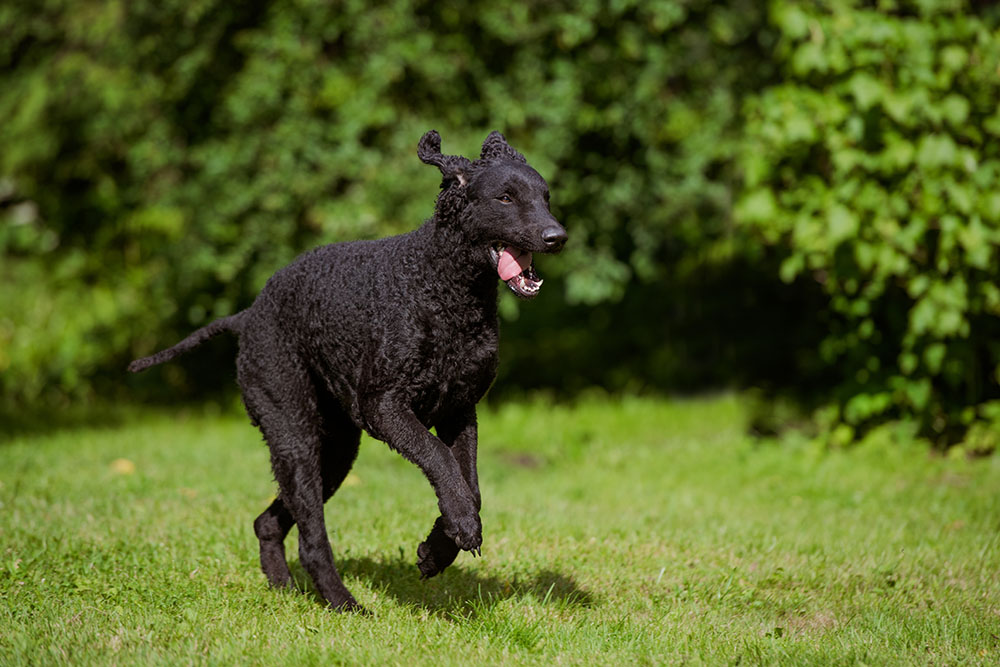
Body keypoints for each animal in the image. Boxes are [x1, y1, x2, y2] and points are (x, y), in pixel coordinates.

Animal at [129, 129, 568, 612]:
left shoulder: (460, 409)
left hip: (335, 450)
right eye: (505, 197)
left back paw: (283, 586)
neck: (442, 290)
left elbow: (469, 486)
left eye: (546, 197)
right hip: (294, 434)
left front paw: (439, 548)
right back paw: (344, 603)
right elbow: (439, 461)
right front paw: (460, 527)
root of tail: (249, 315)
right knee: (311, 538)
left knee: (270, 521)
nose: (557, 236)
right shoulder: (384, 406)